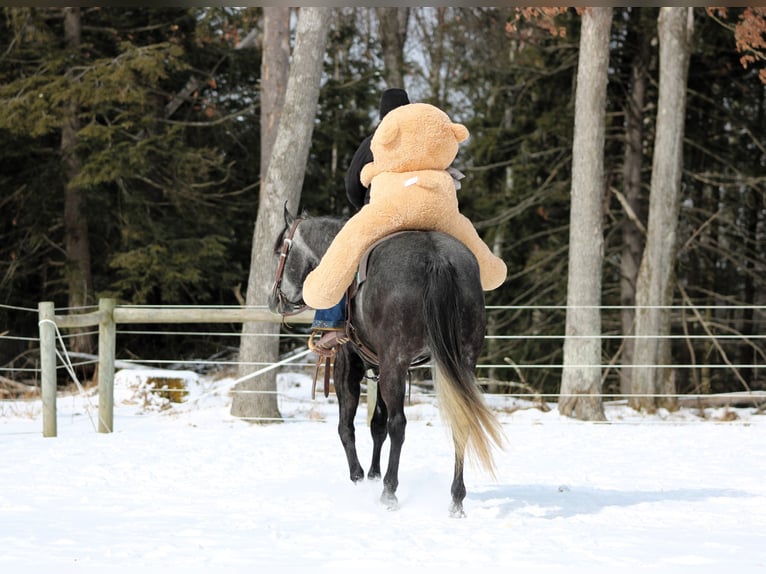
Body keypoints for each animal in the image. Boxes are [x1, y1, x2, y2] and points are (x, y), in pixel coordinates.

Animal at [268, 206, 508, 516]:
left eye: (279, 252)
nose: (274, 299)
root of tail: (437, 258)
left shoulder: (350, 364)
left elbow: (347, 426)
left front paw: (359, 476)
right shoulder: (380, 367)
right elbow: (376, 424)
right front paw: (372, 473)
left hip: (397, 362)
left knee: (398, 424)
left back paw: (389, 492)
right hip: (460, 362)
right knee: (460, 420)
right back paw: (456, 499)